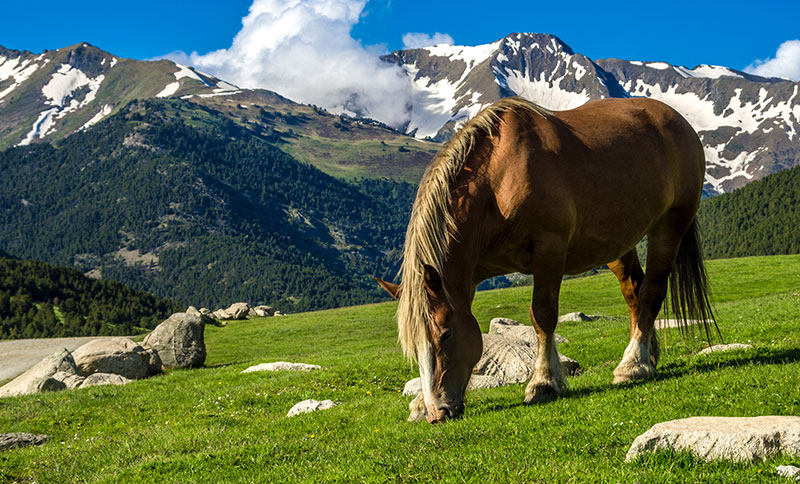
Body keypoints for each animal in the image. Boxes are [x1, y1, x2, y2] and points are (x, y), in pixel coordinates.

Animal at [378, 95, 716, 424]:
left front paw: (543, 382)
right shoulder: (468, 277)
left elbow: (543, 315)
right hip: (620, 244)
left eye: (445, 334)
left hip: (670, 225)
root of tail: (677, 120)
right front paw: (420, 403)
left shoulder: (548, 251)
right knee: (635, 291)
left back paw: (633, 365)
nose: (438, 413)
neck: (498, 180)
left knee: (652, 292)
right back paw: (647, 356)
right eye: (413, 345)